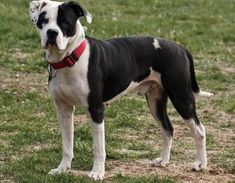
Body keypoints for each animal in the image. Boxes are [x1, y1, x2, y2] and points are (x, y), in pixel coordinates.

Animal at [28, 0, 213, 180]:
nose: (52, 32)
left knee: (199, 131)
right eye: (43, 21)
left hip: (182, 97)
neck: (69, 59)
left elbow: (98, 147)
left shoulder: (96, 110)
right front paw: (62, 169)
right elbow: (67, 145)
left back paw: (200, 164)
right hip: (155, 101)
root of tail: (180, 47)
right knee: (168, 128)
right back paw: (163, 161)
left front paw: (97, 172)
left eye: (65, 22)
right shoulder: (63, 109)